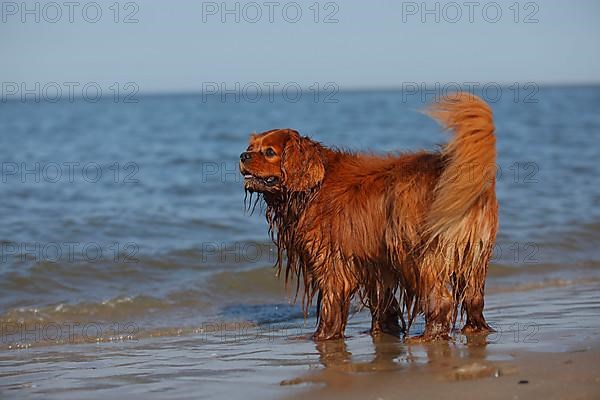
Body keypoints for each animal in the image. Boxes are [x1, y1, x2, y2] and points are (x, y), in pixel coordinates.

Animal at [239, 92, 496, 340]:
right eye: (251, 148)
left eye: (269, 152)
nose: (242, 155)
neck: (314, 185)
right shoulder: (374, 262)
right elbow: (383, 302)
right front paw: (383, 329)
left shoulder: (331, 261)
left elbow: (330, 305)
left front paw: (323, 336)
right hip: (473, 259)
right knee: (474, 298)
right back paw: (474, 329)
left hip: (417, 255)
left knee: (441, 299)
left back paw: (429, 336)